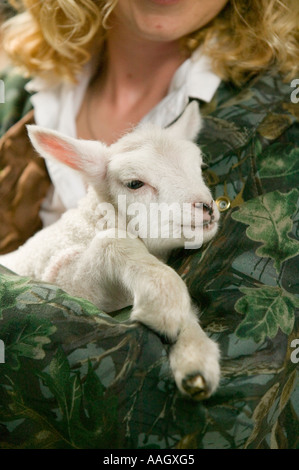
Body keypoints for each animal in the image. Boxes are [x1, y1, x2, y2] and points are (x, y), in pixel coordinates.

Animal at [0, 103, 220, 400]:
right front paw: (165, 303)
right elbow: (111, 242)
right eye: (134, 183)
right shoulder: (64, 279)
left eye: (198, 167)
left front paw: (195, 356)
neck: (92, 222)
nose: (206, 207)